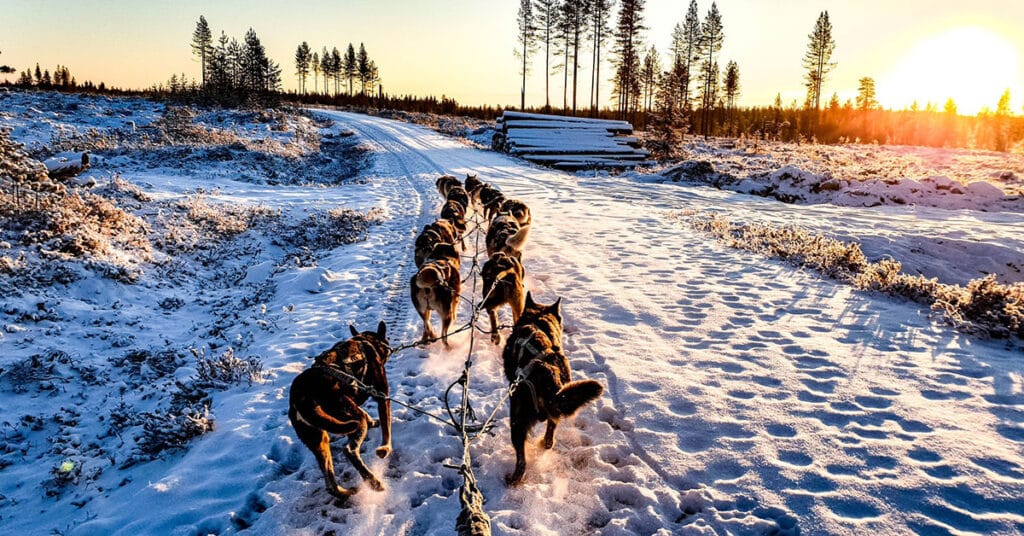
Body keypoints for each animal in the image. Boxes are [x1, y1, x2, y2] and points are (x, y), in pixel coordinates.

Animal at [292, 319, 395, 500]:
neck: (365, 341)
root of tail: (299, 395)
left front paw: (372, 421)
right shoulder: (383, 396)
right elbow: (386, 429)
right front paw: (385, 448)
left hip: (320, 440)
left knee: (329, 482)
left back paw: (345, 492)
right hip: (351, 418)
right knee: (350, 450)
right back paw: (373, 482)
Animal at [501, 293, 602, 485]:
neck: (537, 321)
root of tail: (546, 370)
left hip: (517, 421)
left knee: (521, 461)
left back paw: (513, 479)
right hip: (556, 406)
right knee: (550, 436)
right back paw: (545, 443)